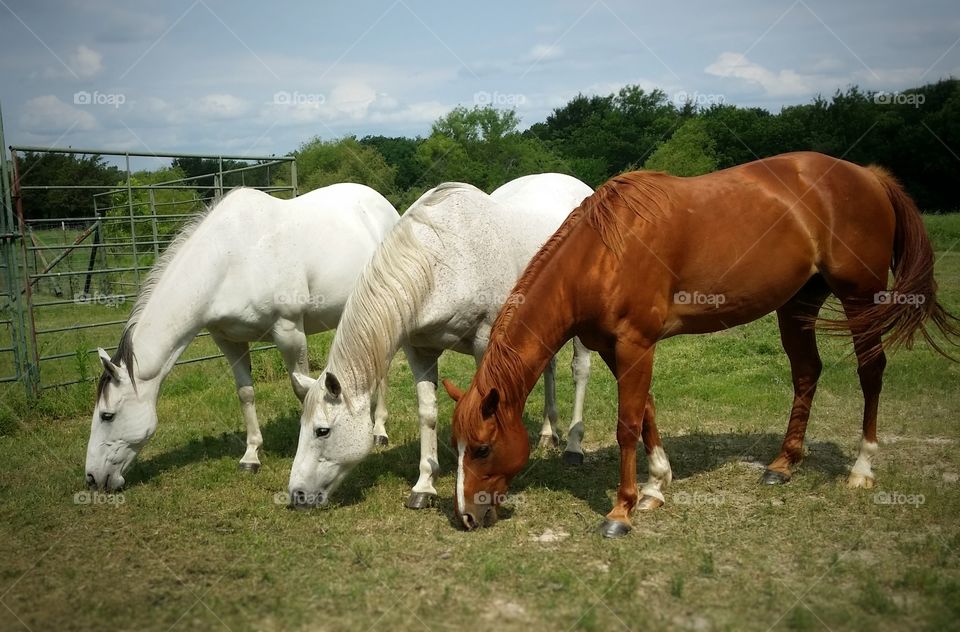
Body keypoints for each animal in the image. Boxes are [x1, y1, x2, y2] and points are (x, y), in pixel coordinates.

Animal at [85, 185, 399, 491]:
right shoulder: (229, 341)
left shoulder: (289, 331)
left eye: (107, 415)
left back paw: (379, 430)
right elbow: (245, 393)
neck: (230, 260)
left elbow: (302, 391)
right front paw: (251, 456)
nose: (92, 478)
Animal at [287, 173, 594, 510]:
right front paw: (424, 485)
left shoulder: (486, 342)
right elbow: (428, 413)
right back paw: (548, 434)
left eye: (322, 431)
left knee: (580, 371)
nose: (296, 494)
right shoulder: (420, 350)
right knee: (549, 367)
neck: (446, 260)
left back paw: (574, 448)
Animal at [444, 152, 960, 538]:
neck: (604, 253)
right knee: (806, 372)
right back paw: (783, 463)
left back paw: (862, 467)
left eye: (483, 448)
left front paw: (622, 511)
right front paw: (656, 485)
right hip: (798, 304)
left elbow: (627, 424)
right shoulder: (618, 347)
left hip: (860, 297)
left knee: (870, 372)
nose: (467, 515)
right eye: (457, 446)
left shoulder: (635, 343)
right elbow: (647, 411)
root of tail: (869, 176)